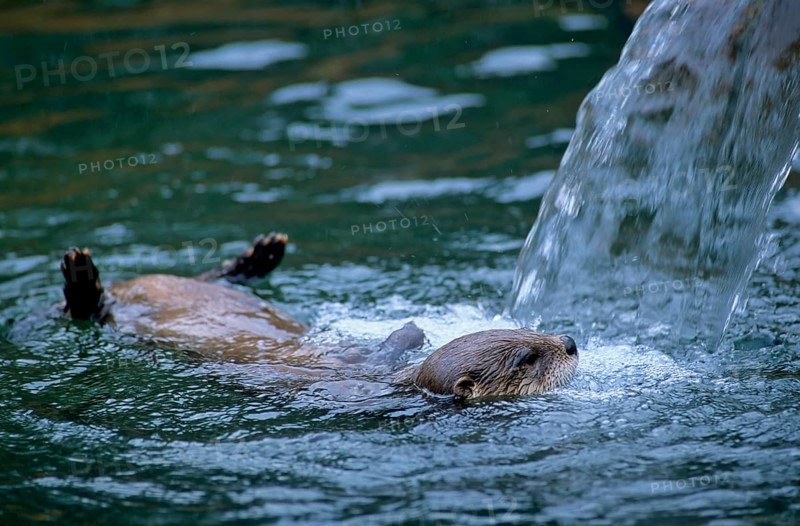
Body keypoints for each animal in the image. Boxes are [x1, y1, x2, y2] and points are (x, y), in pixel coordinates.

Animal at [59, 233, 578, 397]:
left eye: (528, 328)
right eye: (528, 358)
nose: (570, 343)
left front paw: (411, 329)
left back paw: (260, 255)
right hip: (112, 315)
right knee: (88, 312)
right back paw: (81, 277)